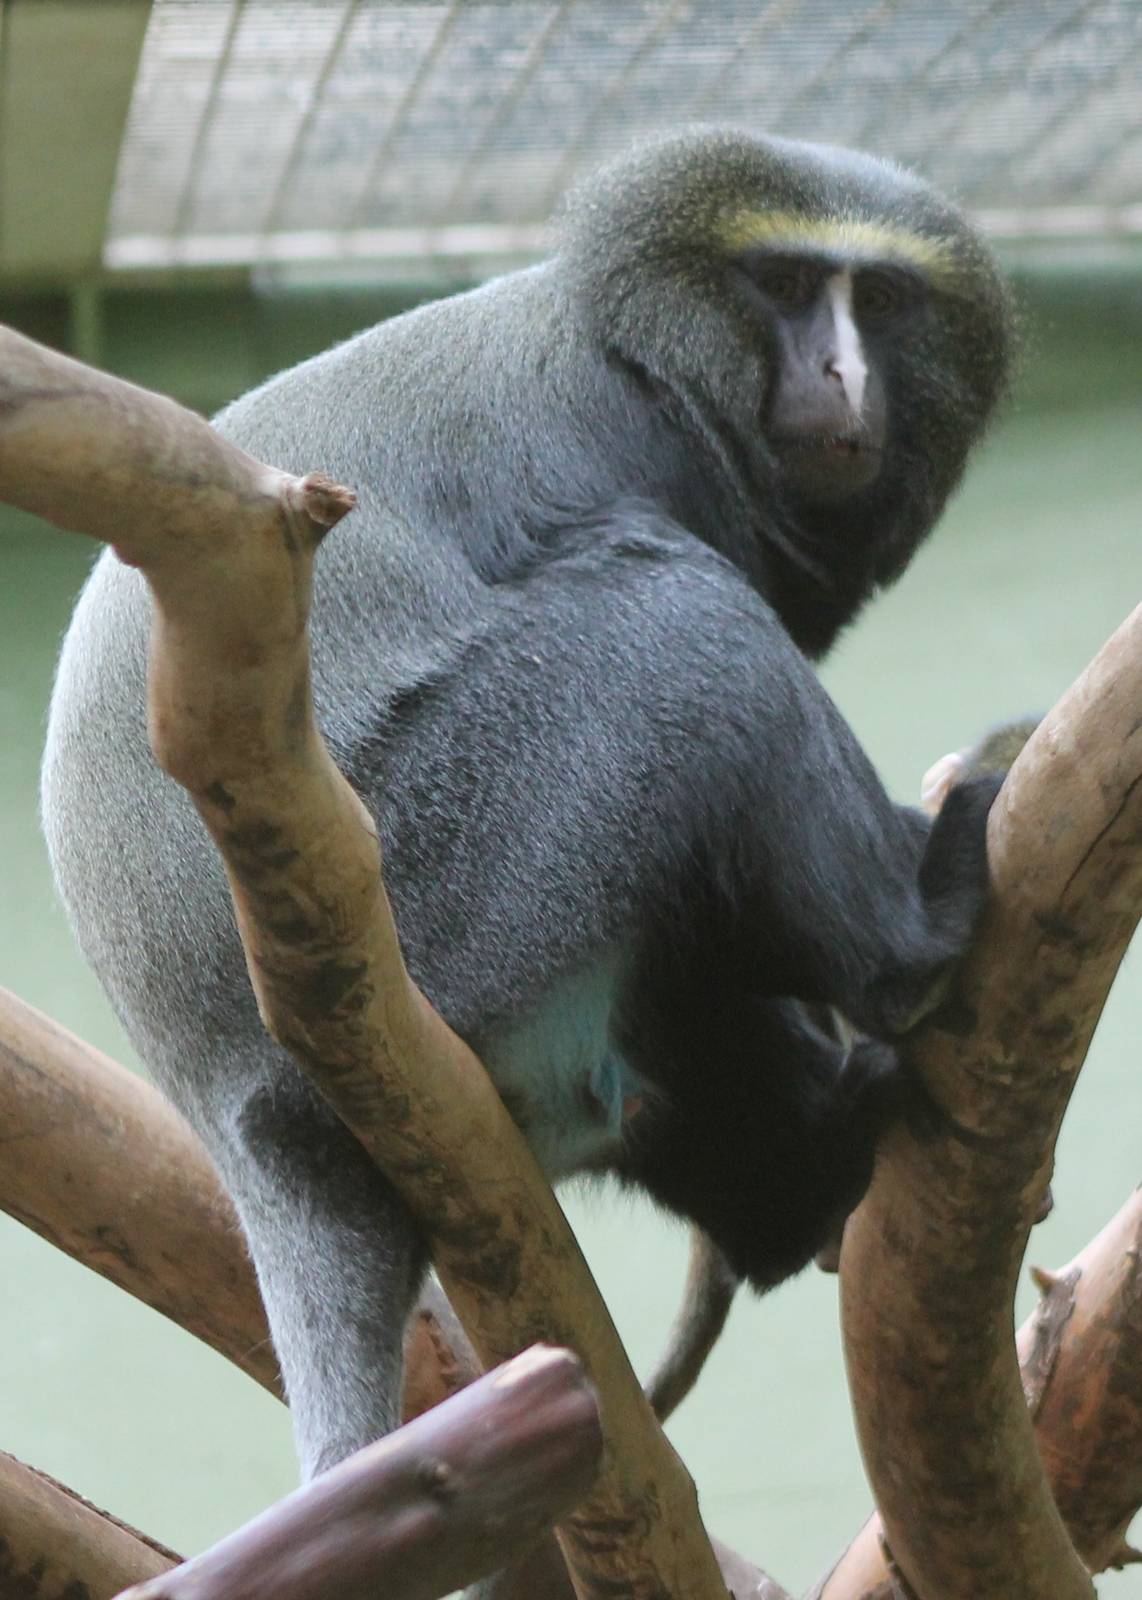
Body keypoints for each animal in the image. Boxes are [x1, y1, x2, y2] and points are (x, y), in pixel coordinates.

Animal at [41, 129, 1013, 1486]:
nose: (839, 371)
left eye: (874, 299)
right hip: (444, 879)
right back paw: (912, 934)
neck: (650, 359)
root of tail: (234, 1107)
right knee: (672, 617)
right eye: (781, 286)